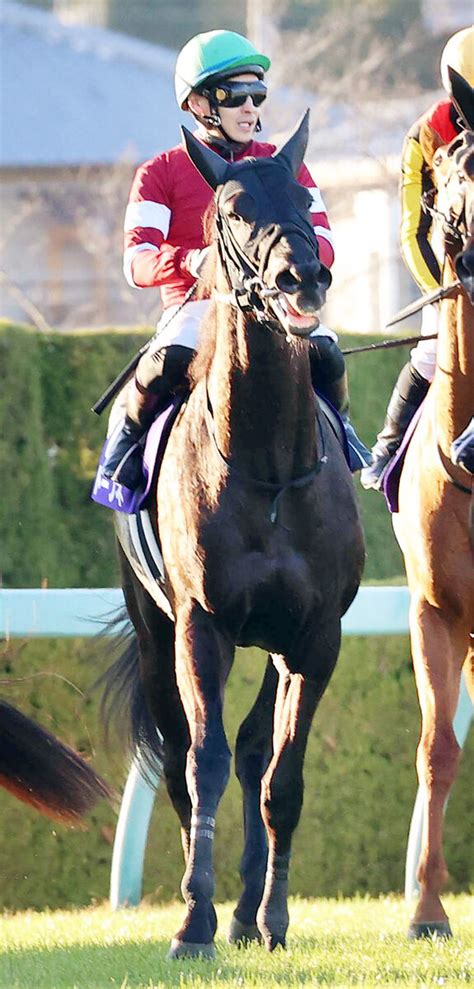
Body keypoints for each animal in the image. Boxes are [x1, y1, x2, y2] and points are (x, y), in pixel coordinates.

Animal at [103, 116, 362, 956]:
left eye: (306, 199)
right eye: (235, 209)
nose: (302, 278)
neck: (268, 466)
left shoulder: (316, 635)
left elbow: (282, 775)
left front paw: (272, 916)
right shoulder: (202, 625)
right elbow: (203, 761)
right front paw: (194, 920)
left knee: (253, 749)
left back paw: (249, 910)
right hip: (157, 635)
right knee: (180, 749)